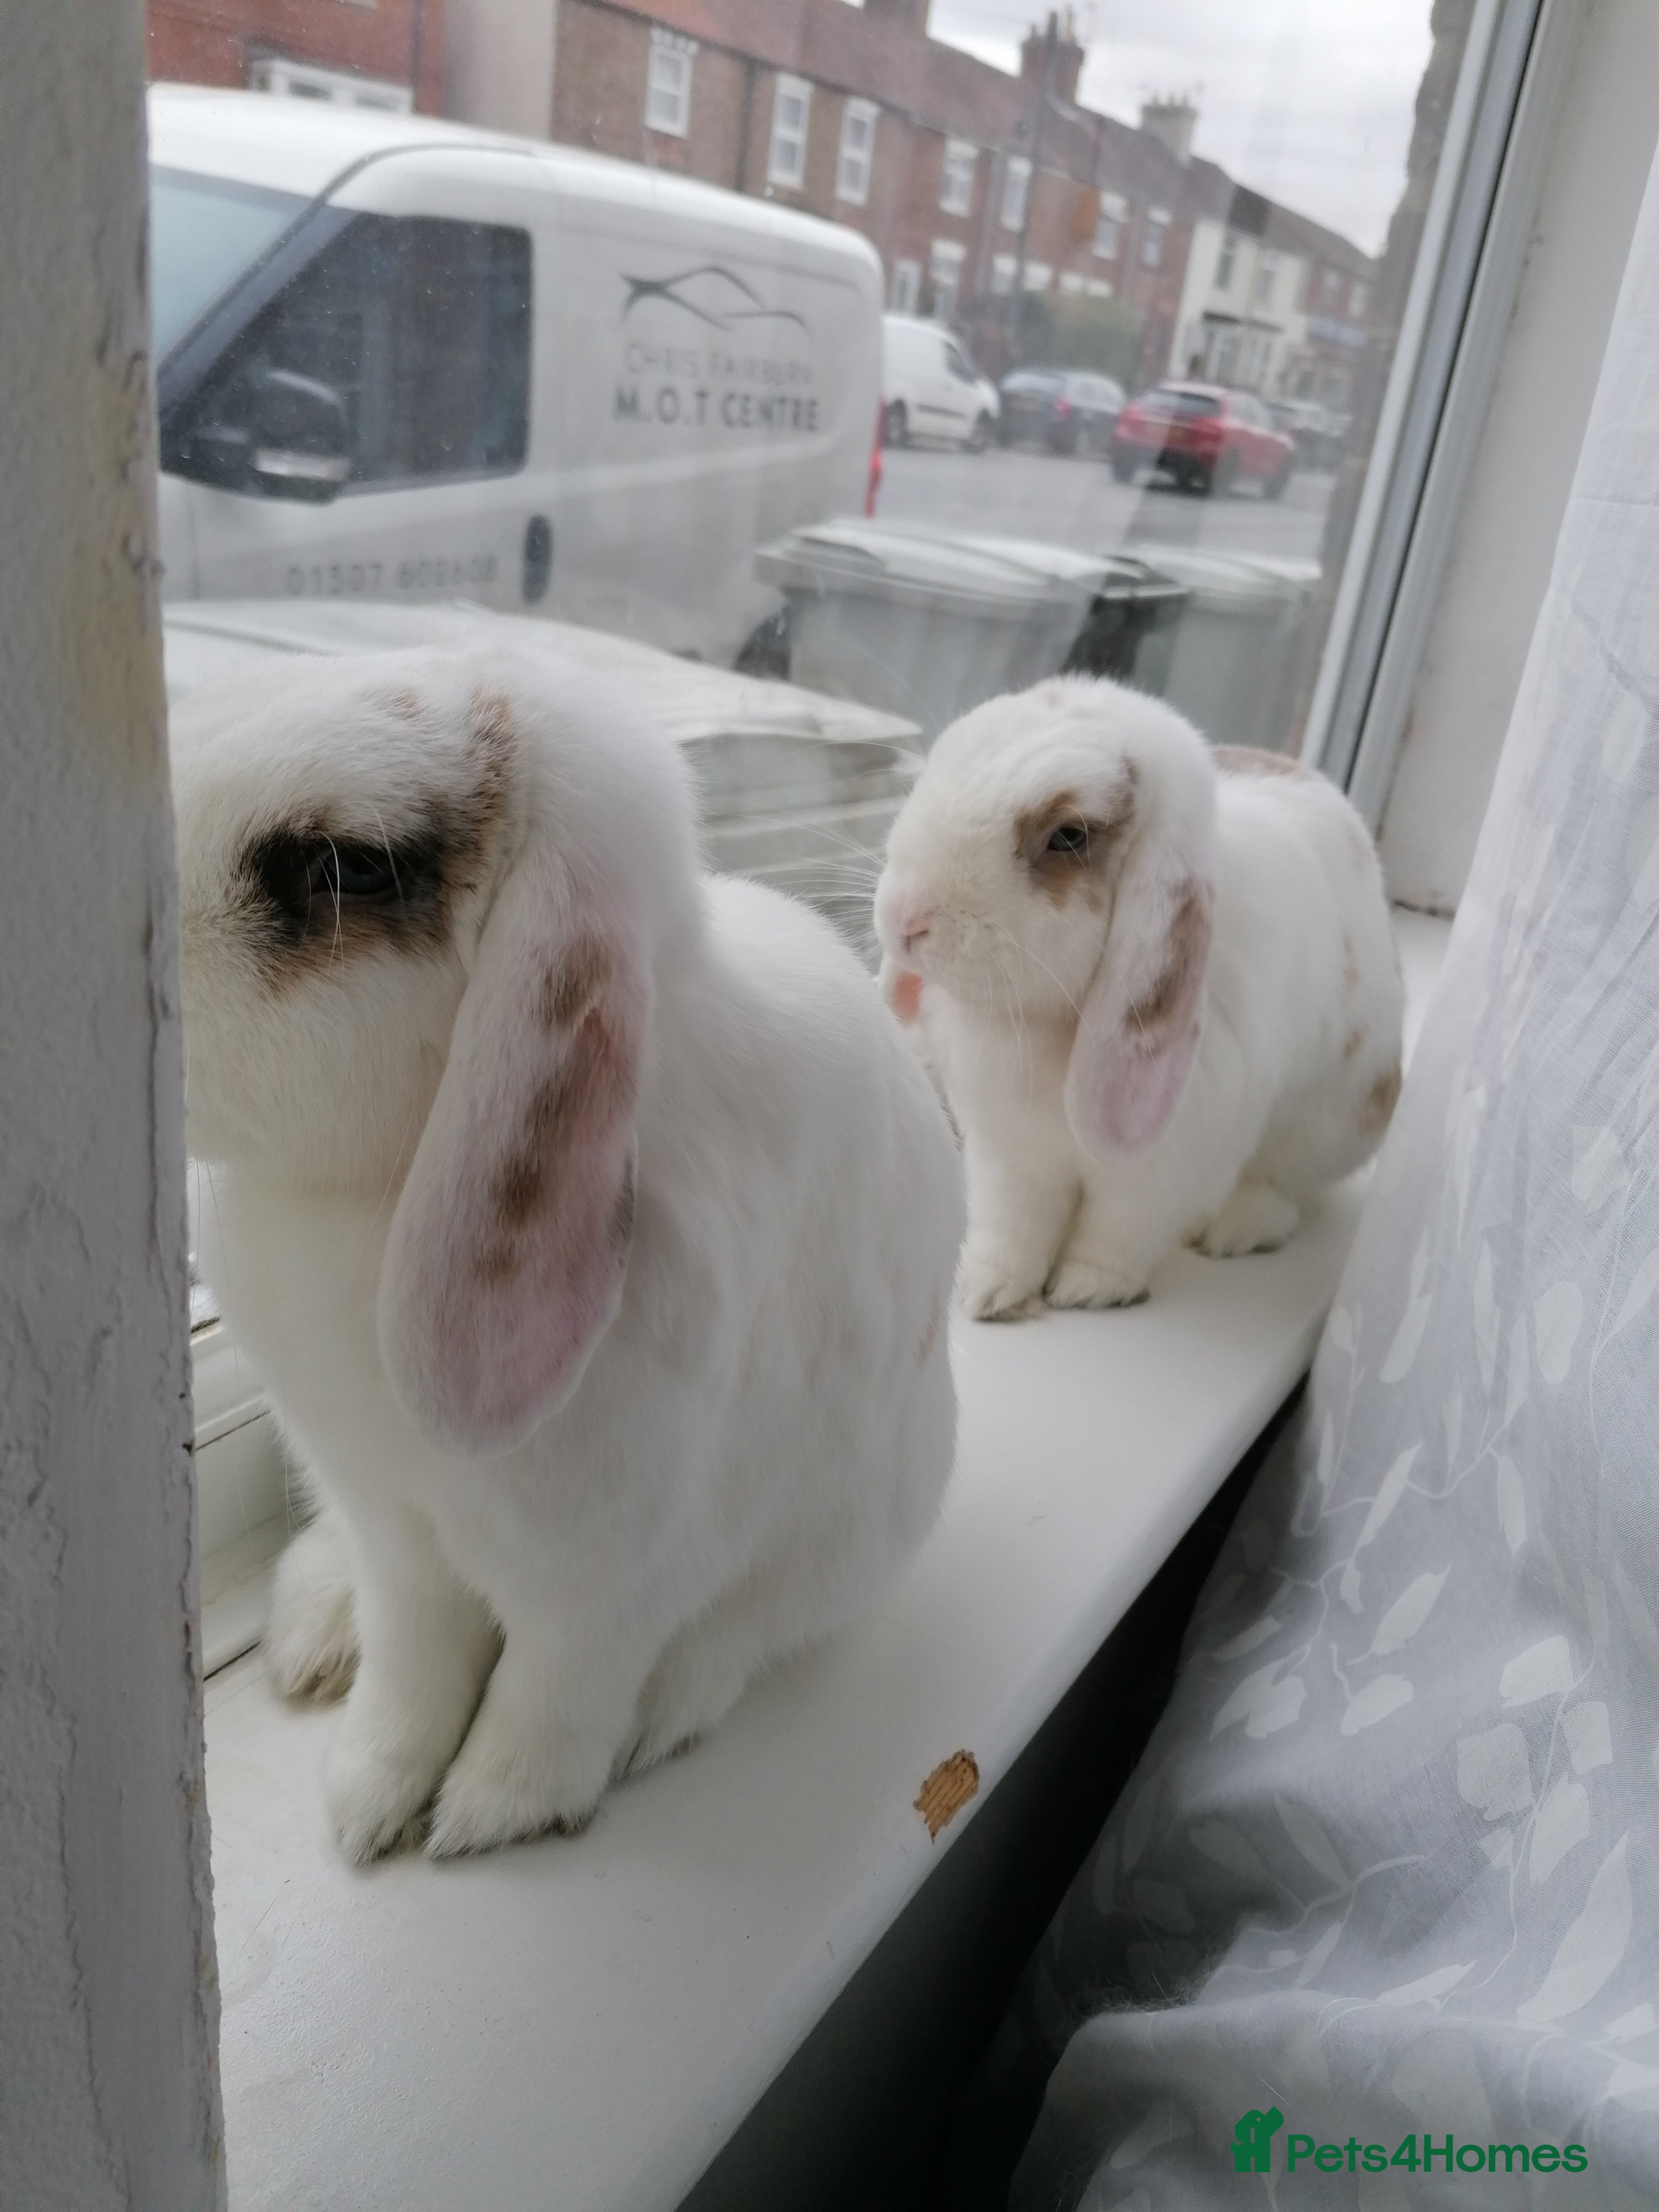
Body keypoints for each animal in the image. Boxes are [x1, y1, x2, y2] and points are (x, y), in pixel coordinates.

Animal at [174, 644, 964, 1860]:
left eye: (344, 868)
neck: (366, 1195)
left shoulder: (609, 1574)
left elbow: (552, 1690)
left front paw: (493, 1810)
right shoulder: (392, 1531)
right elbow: (412, 1674)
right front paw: (369, 1796)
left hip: (867, 1519)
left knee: (747, 1632)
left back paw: (667, 1712)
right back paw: (314, 1630)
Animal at [872, 675, 1402, 1321]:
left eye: (1068, 836)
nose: (905, 919)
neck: (1051, 1023)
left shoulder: (1164, 1170)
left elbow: (1119, 1231)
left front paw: (1087, 1289)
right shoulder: (1009, 1152)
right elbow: (1013, 1226)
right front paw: (986, 1292)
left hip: (1332, 1125)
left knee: (1286, 1191)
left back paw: (1235, 1227)